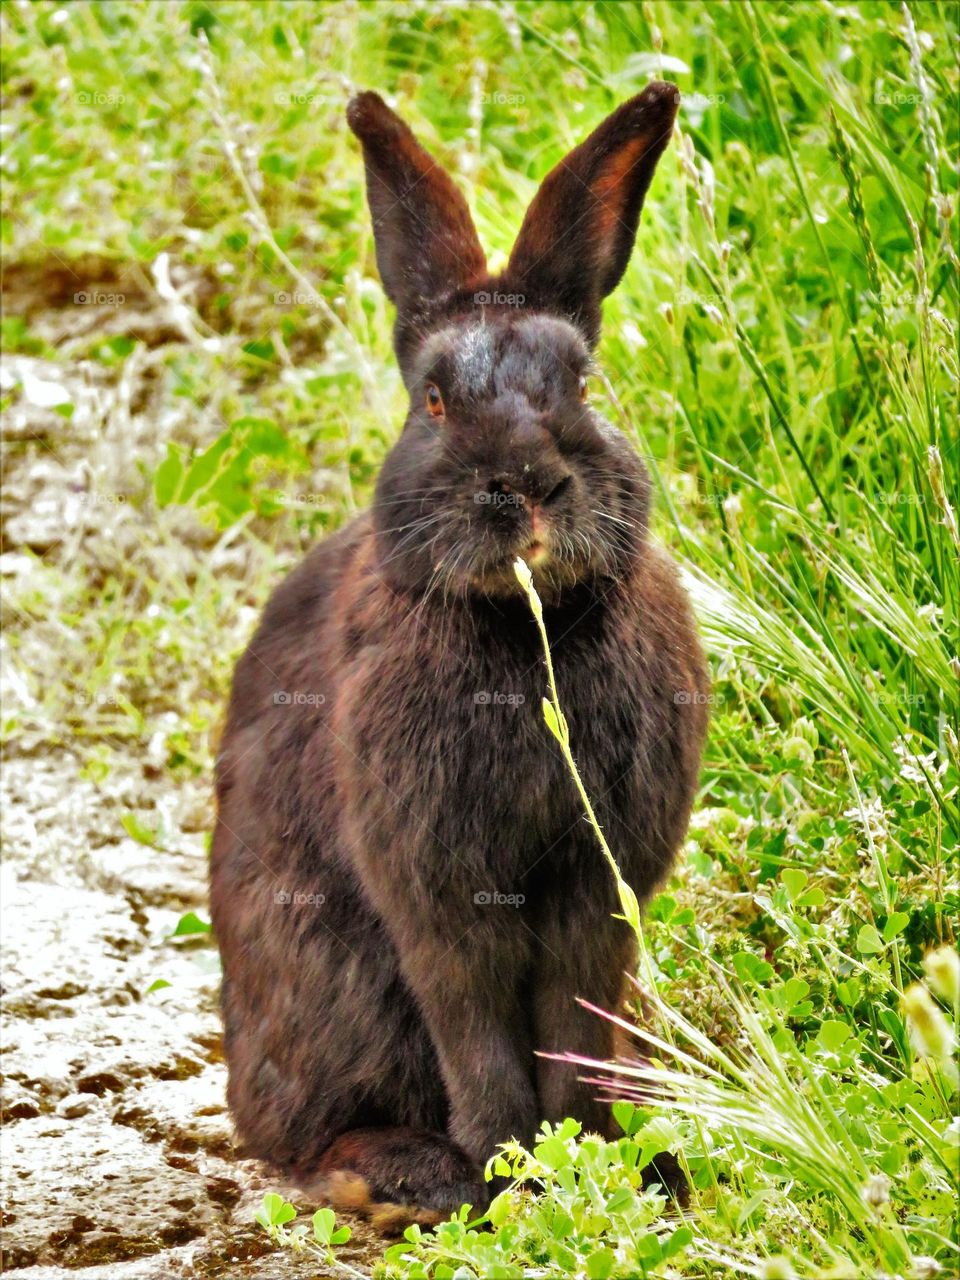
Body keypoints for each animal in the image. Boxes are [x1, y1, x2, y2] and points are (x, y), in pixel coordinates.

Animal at [210, 81, 708, 1231]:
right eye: (434, 402)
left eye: (582, 386)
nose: (525, 484)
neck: (525, 628)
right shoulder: (438, 889)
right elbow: (474, 1025)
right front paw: (509, 1177)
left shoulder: (595, 883)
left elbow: (574, 1016)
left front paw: (589, 1165)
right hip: (324, 989)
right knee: (304, 1133)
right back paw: (407, 1174)